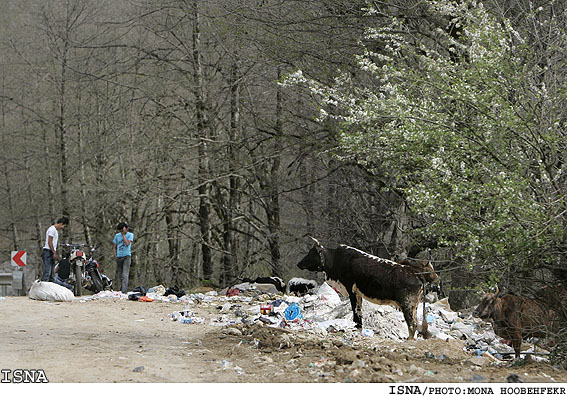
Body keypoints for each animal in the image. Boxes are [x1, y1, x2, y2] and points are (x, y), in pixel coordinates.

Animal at [298, 237, 440, 338]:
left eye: (311, 253)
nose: (299, 264)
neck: (335, 260)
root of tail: (415, 273)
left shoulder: (352, 291)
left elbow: (356, 313)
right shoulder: (358, 294)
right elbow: (359, 313)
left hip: (408, 305)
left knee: (412, 325)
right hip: (414, 307)